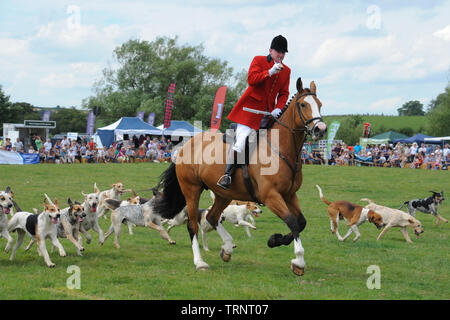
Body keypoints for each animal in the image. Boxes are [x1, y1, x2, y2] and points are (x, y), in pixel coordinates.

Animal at [153, 77, 326, 276]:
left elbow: (301, 222)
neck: (281, 149)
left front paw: (275, 240)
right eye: (304, 104)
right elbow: (292, 221)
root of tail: (185, 145)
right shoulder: (271, 196)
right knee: (193, 225)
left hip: (223, 194)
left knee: (212, 217)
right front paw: (298, 261)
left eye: (320, 104)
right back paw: (200, 262)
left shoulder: (290, 195)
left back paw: (227, 248)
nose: (321, 129)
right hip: (192, 190)